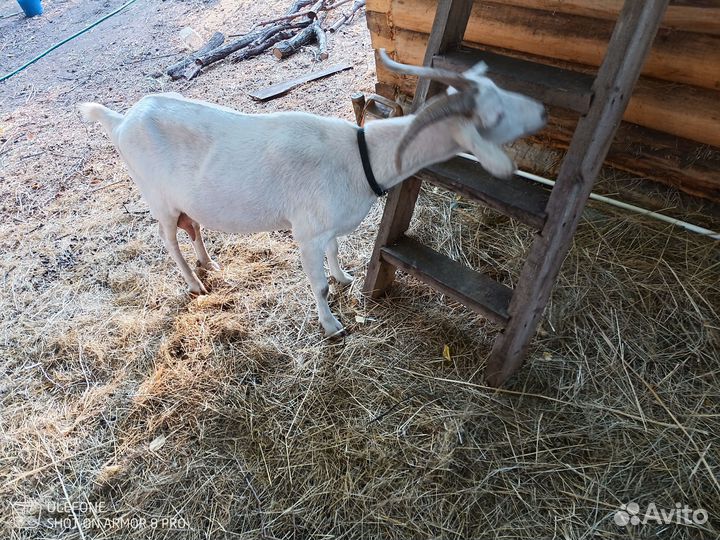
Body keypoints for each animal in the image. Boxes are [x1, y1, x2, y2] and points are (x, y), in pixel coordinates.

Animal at [78, 50, 546, 337]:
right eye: (494, 114)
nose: (541, 111)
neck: (361, 155)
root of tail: (121, 121)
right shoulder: (305, 233)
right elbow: (317, 286)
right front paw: (332, 326)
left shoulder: (328, 227)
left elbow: (335, 252)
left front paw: (344, 278)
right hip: (157, 199)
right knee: (168, 237)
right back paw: (195, 284)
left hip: (183, 202)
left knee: (191, 226)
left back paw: (210, 264)